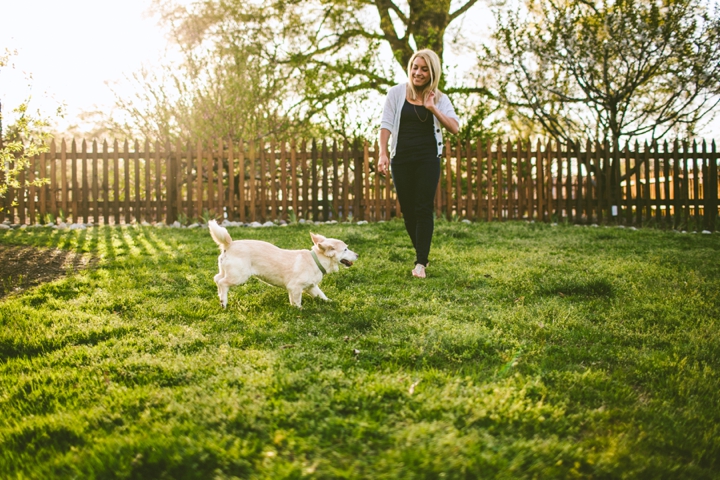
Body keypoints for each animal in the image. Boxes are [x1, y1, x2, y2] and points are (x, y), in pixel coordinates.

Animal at [208, 220, 358, 308]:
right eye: (346, 249)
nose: (357, 255)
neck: (316, 260)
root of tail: (229, 244)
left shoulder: (311, 287)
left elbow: (322, 295)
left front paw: (330, 302)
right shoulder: (295, 288)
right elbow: (296, 301)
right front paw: (299, 310)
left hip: (226, 271)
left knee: (217, 279)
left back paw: (220, 297)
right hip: (238, 276)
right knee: (222, 283)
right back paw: (223, 302)